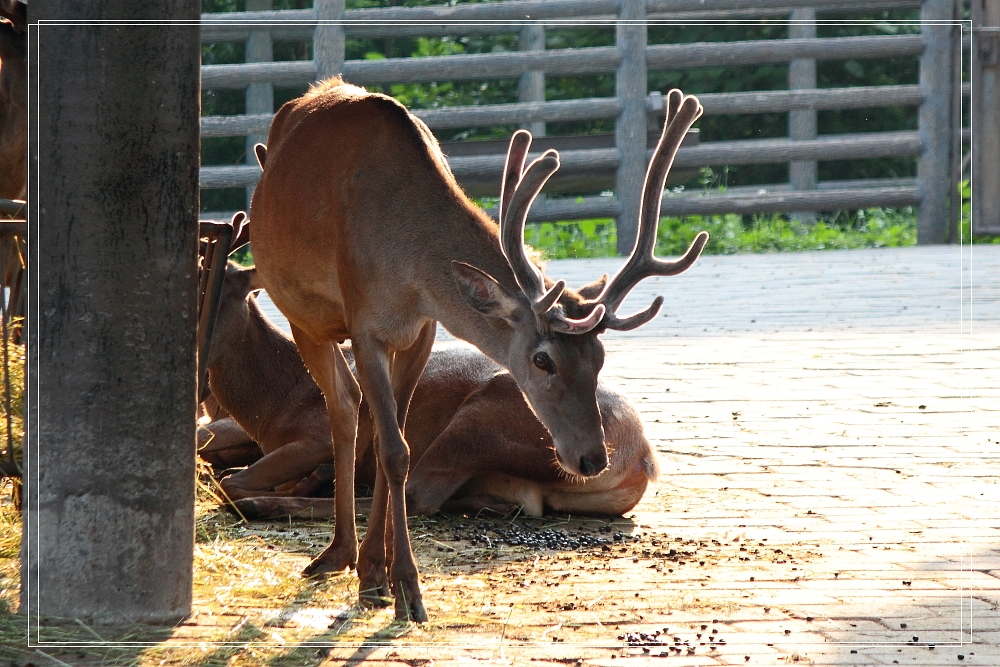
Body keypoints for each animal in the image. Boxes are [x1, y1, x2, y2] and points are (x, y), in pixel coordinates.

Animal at [199, 258, 660, 520]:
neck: (274, 403)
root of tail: (641, 458)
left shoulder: (317, 433)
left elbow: (232, 479)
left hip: (480, 421)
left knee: (413, 495)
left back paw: (266, 503)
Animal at [247, 77, 708, 620]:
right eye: (542, 359)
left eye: (599, 358)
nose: (593, 458)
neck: (404, 264)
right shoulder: (364, 326)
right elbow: (396, 452)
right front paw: (407, 589)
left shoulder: (423, 328)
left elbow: (389, 444)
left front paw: (377, 576)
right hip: (305, 318)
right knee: (342, 409)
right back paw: (333, 551)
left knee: (356, 415)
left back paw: (346, 552)